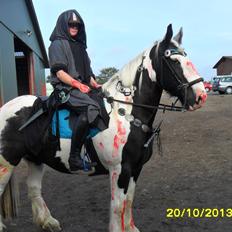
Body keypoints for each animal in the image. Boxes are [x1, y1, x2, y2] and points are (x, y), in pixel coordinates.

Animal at [0, 24, 207, 231]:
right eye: (172, 60)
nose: (201, 96)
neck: (125, 114)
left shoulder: (135, 168)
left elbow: (129, 202)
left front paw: (130, 228)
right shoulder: (119, 169)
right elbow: (118, 206)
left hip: (35, 159)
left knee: (34, 188)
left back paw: (47, 221)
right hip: (6, 162)